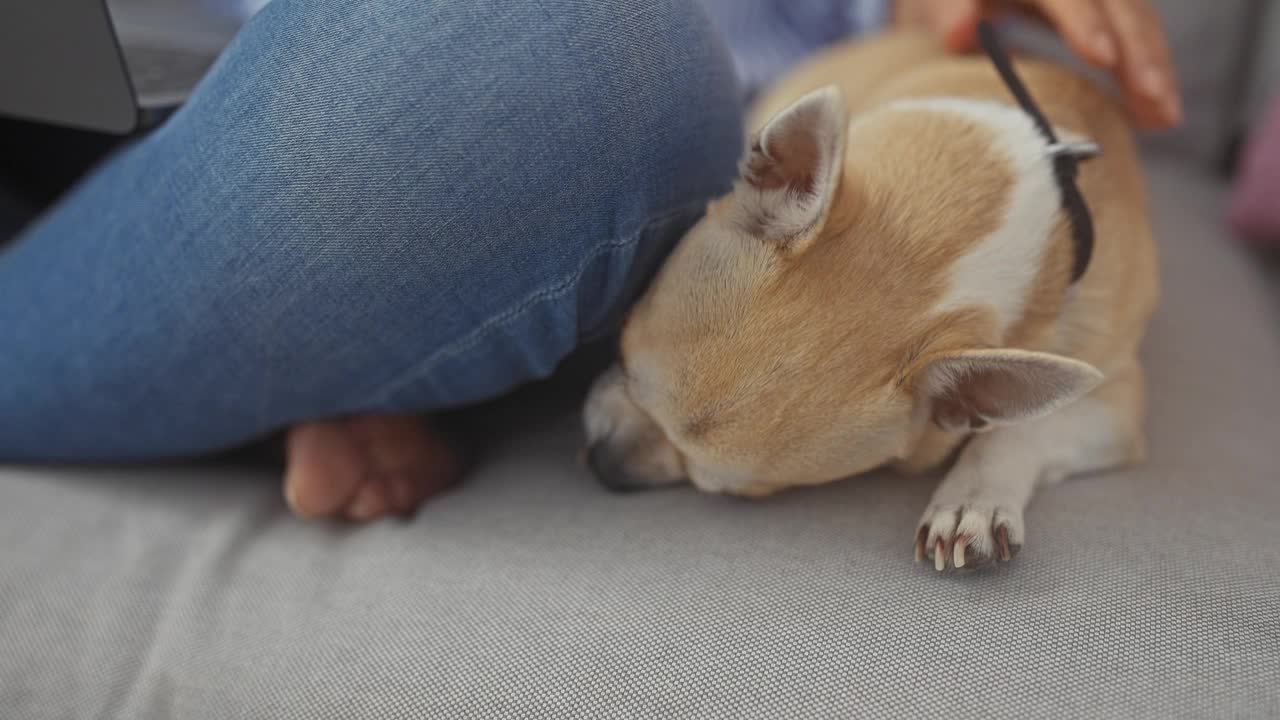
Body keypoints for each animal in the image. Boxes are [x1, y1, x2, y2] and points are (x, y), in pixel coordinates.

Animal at [581, 30, 1162, 568]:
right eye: (624, 354)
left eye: (736, 492)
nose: (604, 464)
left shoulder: (1117, 406)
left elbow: (1017, 433)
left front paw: (972, 502)